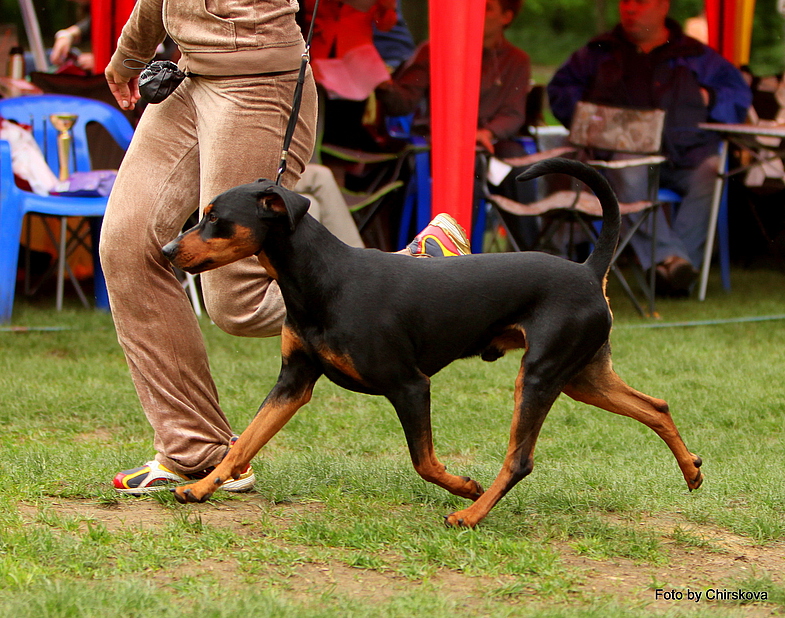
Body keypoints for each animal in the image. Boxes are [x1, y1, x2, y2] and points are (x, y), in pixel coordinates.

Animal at [162, 158, 700, 524]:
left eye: (215, 218)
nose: (166, 249)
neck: (322, 280)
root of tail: (589, 270)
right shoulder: (294, 382)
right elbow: (243, 444)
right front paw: (201, 488)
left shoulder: (409, 386)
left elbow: (423, 461)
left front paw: (463, 486)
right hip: (582, 378)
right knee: (657, 406)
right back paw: (691, 470)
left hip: (541, 376)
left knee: (520, 459)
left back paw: (471, 514)